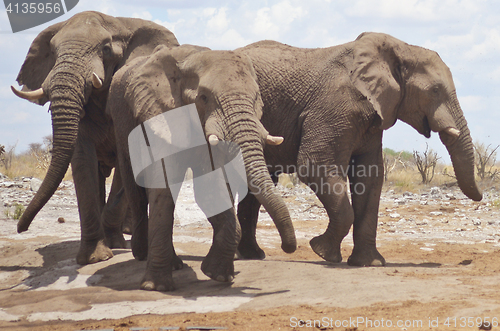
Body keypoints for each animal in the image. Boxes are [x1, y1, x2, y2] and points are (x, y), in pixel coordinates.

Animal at [10, 9, 180, 264]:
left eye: (106, 49)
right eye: (54, 52)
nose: (21, 228)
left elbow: (125, 160)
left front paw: (114, 244)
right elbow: (82, 162)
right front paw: (95, 258)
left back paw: (124, 233)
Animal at [106, 44, 296, 290]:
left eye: (256, 99)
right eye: (204, 98)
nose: (287, 248)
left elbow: (209, 188)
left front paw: (218, 275)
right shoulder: (160, 114)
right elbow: (163, 186)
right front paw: (157, 287)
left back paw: (175, 264)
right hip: (121, 123)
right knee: (135, 187)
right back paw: (143, 255)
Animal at [232, 33, 482, 268]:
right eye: (435, 90)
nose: (480, 196)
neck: (400, 49)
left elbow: (370, 177)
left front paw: (368, 263)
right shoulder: (333, 107)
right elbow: (314, 165)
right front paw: (322, 251)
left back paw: (252, 255)